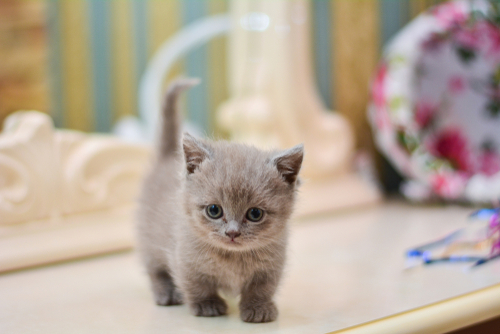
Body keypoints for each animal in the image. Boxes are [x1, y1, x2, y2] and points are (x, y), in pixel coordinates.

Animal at [135, 78, 302, 324]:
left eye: (255, 214)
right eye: (214, 210)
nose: (232, 233)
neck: (232, 257)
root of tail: (167, 158)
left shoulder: (272, 265)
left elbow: (261, 288)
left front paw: (259, 308)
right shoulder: (184, 259)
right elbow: (196, 285)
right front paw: (208, 305)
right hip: (149, 238)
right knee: (155, 269)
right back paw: (166, 293)